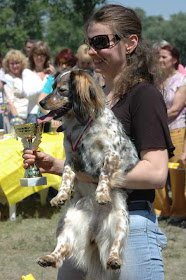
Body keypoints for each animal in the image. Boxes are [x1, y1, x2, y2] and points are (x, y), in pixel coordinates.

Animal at [36, 68, 138, 280]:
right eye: (52, 87)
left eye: (61, 90)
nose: (41, 103)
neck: (82, 124)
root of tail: (94, 234)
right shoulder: (70, 157)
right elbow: (66, 177)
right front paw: (60, 196)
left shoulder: (112, 154)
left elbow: (104, 174)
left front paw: (102, 194)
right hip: (66, 223)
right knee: (62, 248)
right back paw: (48, 258)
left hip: (120, 223)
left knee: (115, 247)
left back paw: (114, 260)